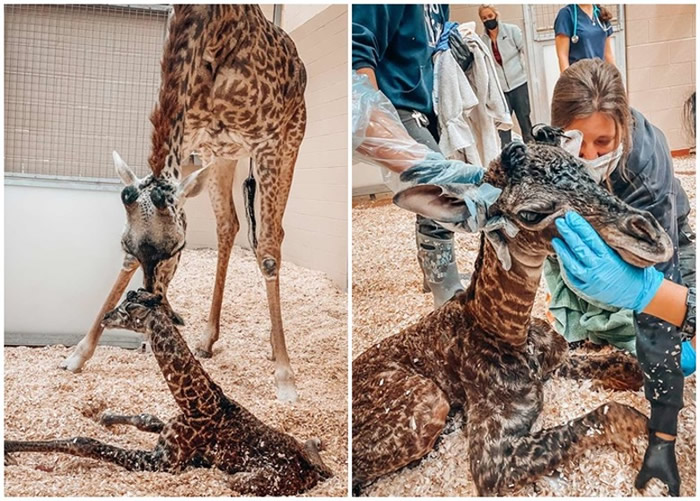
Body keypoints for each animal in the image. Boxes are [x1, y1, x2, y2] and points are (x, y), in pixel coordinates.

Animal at [4, 288, 334, 494]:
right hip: (303, 450)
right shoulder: (165, 436)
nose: (105, 316)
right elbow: (146, 418)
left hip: (244, 480)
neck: (198, 402)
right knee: (313, 446)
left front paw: (10, 448)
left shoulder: (162, 462)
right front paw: (106, 417)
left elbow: (83, 442)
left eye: (125, 310)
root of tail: (313, 472)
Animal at [356, 140, 672, 492]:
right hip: (429, 402)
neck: (507, 331)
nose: (653, 238)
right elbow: (617, 412)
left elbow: (628, 365)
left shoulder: (556, 362)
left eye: (592, 177)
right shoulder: (491, 462)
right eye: (530, 214)